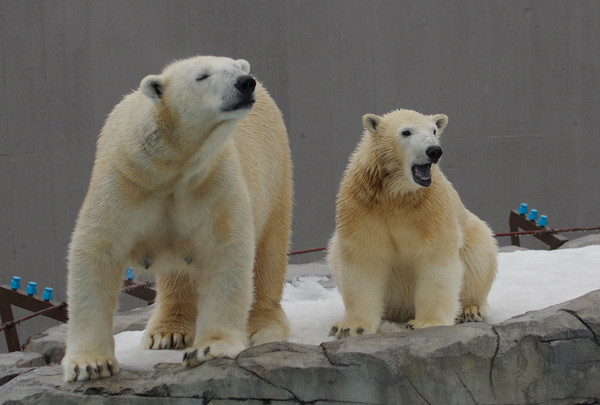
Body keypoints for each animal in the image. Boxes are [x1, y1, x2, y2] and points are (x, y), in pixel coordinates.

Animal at [63, 55, 292, 380]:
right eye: (202, 76)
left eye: (237, 69)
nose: (246, 83)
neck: (173, 166)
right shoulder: (125, 180)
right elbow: (97, 252)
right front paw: (90, 364)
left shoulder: (213, 180)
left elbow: (227, 251)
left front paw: (210, 347)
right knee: (177, 275)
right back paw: (166, 333)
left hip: (275, 173)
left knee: (269, 251)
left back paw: (263, 328)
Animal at [328, 108, 496, 338]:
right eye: (406, 132)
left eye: (434, 130)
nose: (434, 150)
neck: (396, 194)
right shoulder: (363, 204)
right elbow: (363, 257)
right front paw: (350, 327)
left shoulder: (430, 208)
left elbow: (435, 258)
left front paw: (426, 322)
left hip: (472, 233)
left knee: (479, 254)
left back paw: (471, 309)